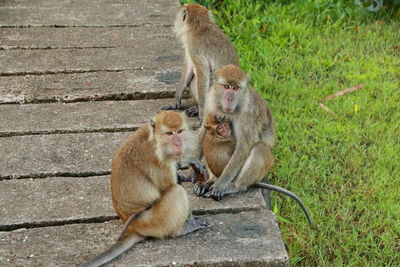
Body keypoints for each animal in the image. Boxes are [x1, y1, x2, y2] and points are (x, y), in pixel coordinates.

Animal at [78, 111, 209, 267]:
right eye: (169, 133)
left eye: (179, 131)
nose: (178, 144)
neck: (154, 139)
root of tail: (133, 227)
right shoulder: (157, 159)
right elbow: (168, 186)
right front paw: (188, 160)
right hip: (154, 221)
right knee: (177, 191)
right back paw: (180, 230)